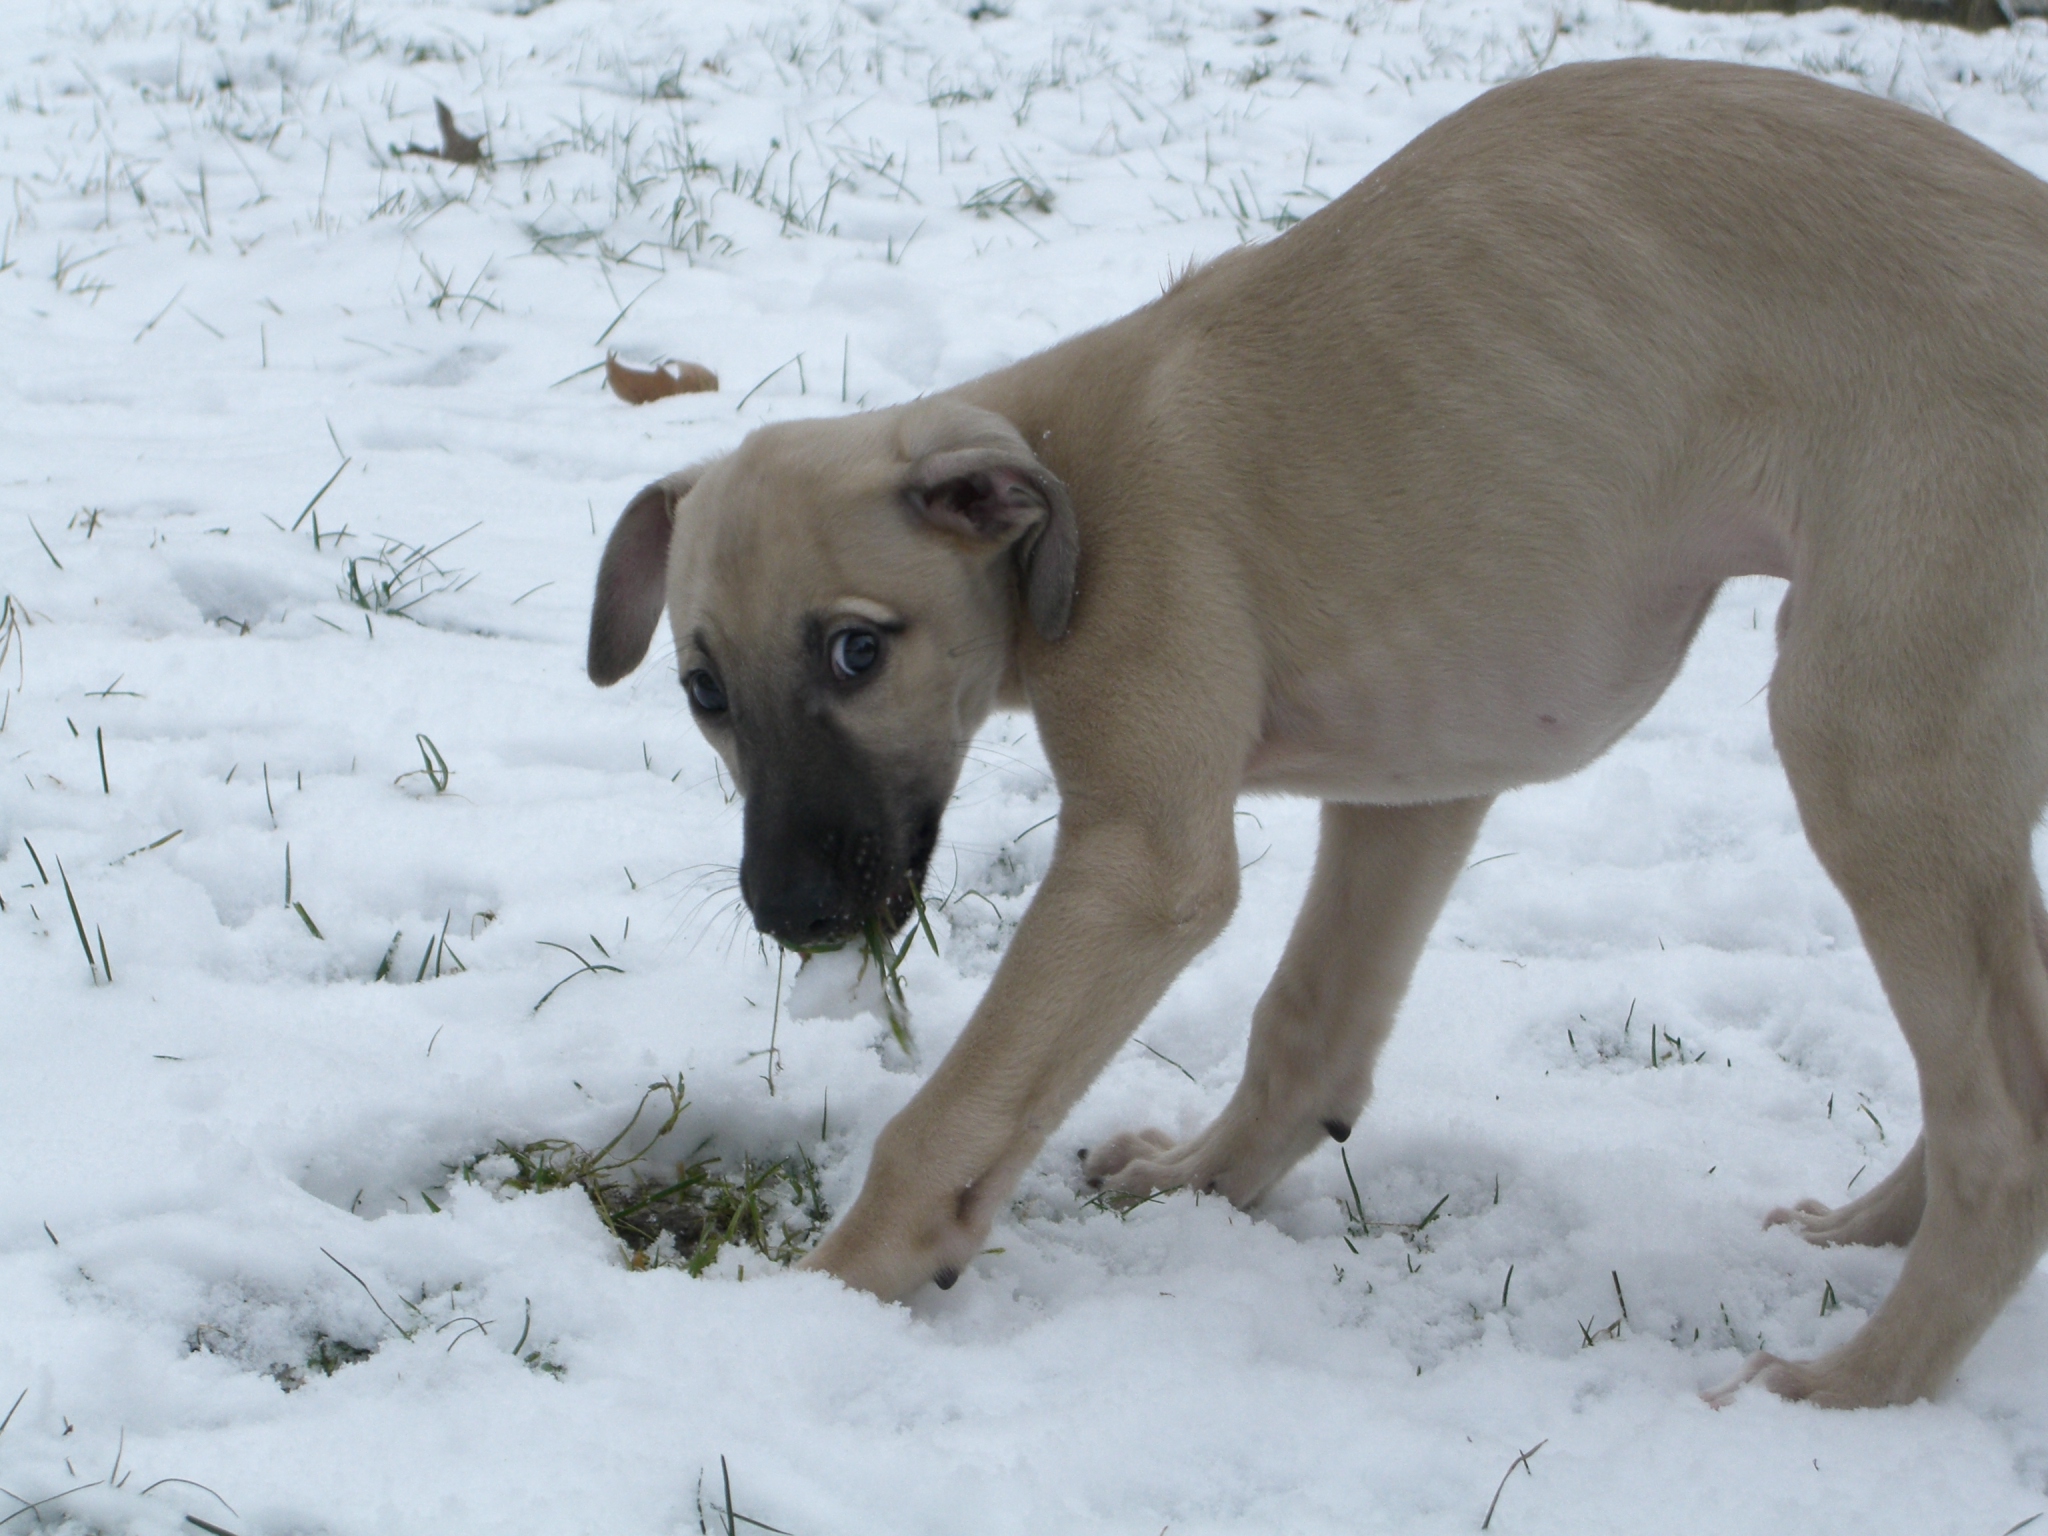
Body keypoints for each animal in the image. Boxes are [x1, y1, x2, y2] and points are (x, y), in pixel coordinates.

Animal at [587, 58, 2048, 1408]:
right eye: (702, 690)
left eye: (857, 649)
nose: (791, 916)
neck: (1070, 487)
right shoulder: (1419, 788)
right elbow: (1311, 1021)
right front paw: (1200, 1179)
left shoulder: (1144, 863)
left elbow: (953, 1111)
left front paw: (820, 1302)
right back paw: (1864, 1235)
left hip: (1871, 739)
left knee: (2005, 1130)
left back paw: (1855, 1388)